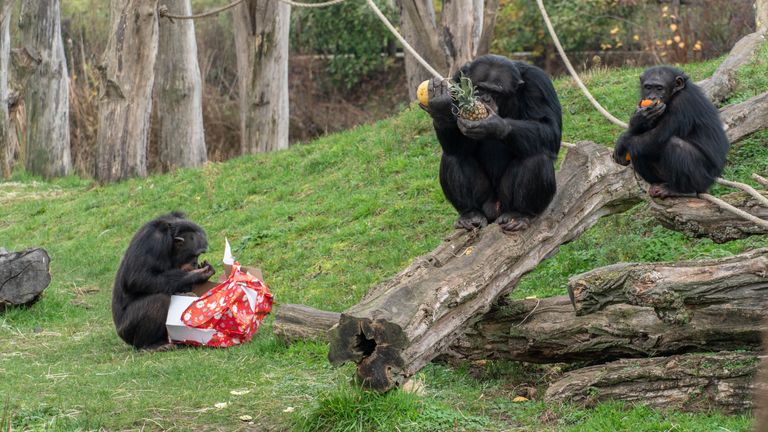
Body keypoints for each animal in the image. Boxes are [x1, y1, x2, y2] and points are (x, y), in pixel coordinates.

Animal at [110, 211, 213, 350]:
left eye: (199, 255)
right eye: (195, 255)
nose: (195, 263)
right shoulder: (153, 240)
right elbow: (137, 278)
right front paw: (197, 275)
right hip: (127, 332)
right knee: (159, 300)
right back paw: (149, 346)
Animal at [420, 54, 564, 233]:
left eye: (496, 92)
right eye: (479, 88)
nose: (485, 99)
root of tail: (494, 211)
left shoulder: (539, 84)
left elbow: (550, 129)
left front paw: (494, 125)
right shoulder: (457, 81)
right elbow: (459, 147)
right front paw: (440, 106)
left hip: (506, 202)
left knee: (537, 157)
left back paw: (519, 214)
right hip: (484, 202)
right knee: (453, 156)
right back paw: (470, 214)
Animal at [612, 66, 732, 197]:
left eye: (659, 88)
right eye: (648, 87)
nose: (652, 97)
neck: (673, 95)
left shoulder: (681, 104)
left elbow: (658, 136)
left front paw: (622, 142)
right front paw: (638, 120)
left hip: (702, 180)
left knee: (675, 145)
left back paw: (682, 190)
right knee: (638, 149)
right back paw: (657, 185)